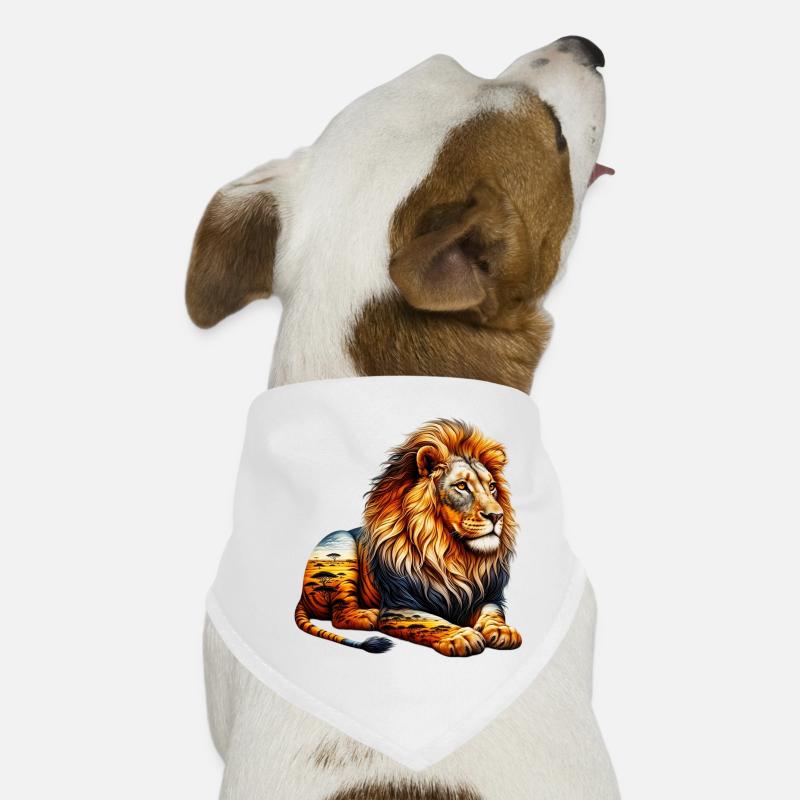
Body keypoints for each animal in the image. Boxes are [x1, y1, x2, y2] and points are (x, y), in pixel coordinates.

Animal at [294, 419, 522, 657]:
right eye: (461, 486)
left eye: (492, 487)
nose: (497, 515)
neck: (453, 555)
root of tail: (301, 597)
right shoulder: (398, 606)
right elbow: (429, 621)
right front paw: (460, 636)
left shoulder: (486, 596)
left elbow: (493, 613)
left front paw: (503, 630)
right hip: (341, 542)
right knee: (339, 616)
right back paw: (368, 615)